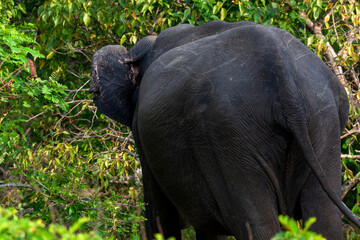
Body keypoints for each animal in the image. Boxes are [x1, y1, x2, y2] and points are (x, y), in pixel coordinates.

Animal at [90, 21, 360, 240]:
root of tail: (283, 76)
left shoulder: (142, 130)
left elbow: (159, 213)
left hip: (229, 133)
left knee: (254, 223)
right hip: (321, 123)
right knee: (324, 218)